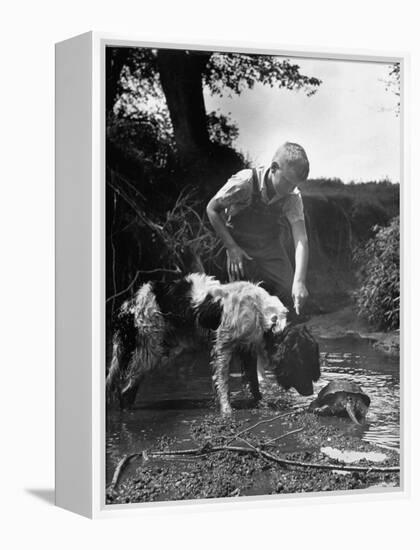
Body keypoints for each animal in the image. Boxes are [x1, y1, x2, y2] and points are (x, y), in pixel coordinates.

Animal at [106, 274, 320, 416]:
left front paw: (260, 403)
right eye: (304, 362)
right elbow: (223, 382)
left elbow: (253, 383)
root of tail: (129, 303)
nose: (311, 393)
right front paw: (227, 411)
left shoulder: (247, 349)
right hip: (152, 351)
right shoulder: (223, 347)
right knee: (125, 390)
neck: (261, 314)